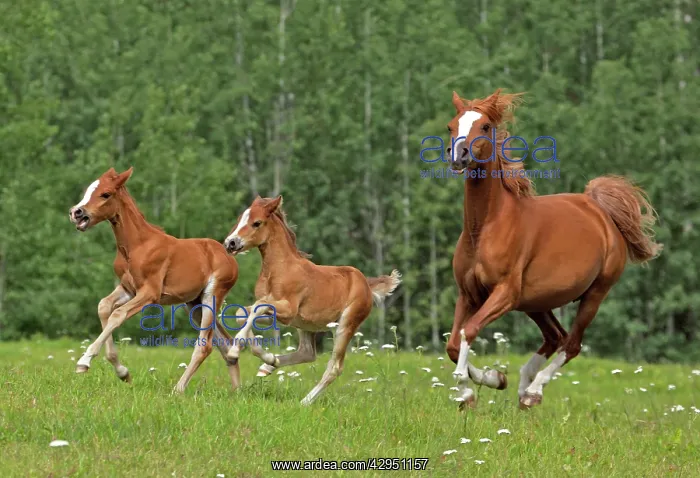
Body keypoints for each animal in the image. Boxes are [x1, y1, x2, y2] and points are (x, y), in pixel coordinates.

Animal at [68, 167, 241, 393]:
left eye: (105, 194)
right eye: (89, 190)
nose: (76, 212)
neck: (136, 246)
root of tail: (230, 257)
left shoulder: (150, 292)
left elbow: (117, 315)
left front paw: (84, 362)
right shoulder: (128, 289)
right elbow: (104, 306)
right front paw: (123, 373)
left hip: (212, 296)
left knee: (206, 346)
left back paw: (178, 390)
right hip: (194, 303)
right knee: (226, 344)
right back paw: (238, 391)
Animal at [221, 195, 402, 405]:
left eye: (257, 223)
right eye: (240, 218)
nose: (230, 243)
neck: (279, 269)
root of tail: (366, 284)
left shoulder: (288, 310)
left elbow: (256, 308)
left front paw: (235, 351)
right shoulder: (281, 314)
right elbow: (243, 313)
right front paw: (266, 357)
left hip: (345, 325)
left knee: (334, 367)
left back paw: (304, 402)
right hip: (306, 325)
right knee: (307, 353)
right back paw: (269, 366)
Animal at [443, 89, 662, 409]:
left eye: (484, 126)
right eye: (451, 125)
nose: (459, 157)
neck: (484, 229)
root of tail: (599, 210)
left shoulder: (505, 293)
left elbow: (467, 331)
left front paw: (470, 388)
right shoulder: (468, 294)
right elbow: (453, 342)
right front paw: (490, 380)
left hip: (594, 294)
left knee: (571, 344)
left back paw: (534, 390)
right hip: (537, 302)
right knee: (555, 337)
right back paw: (523, 387)